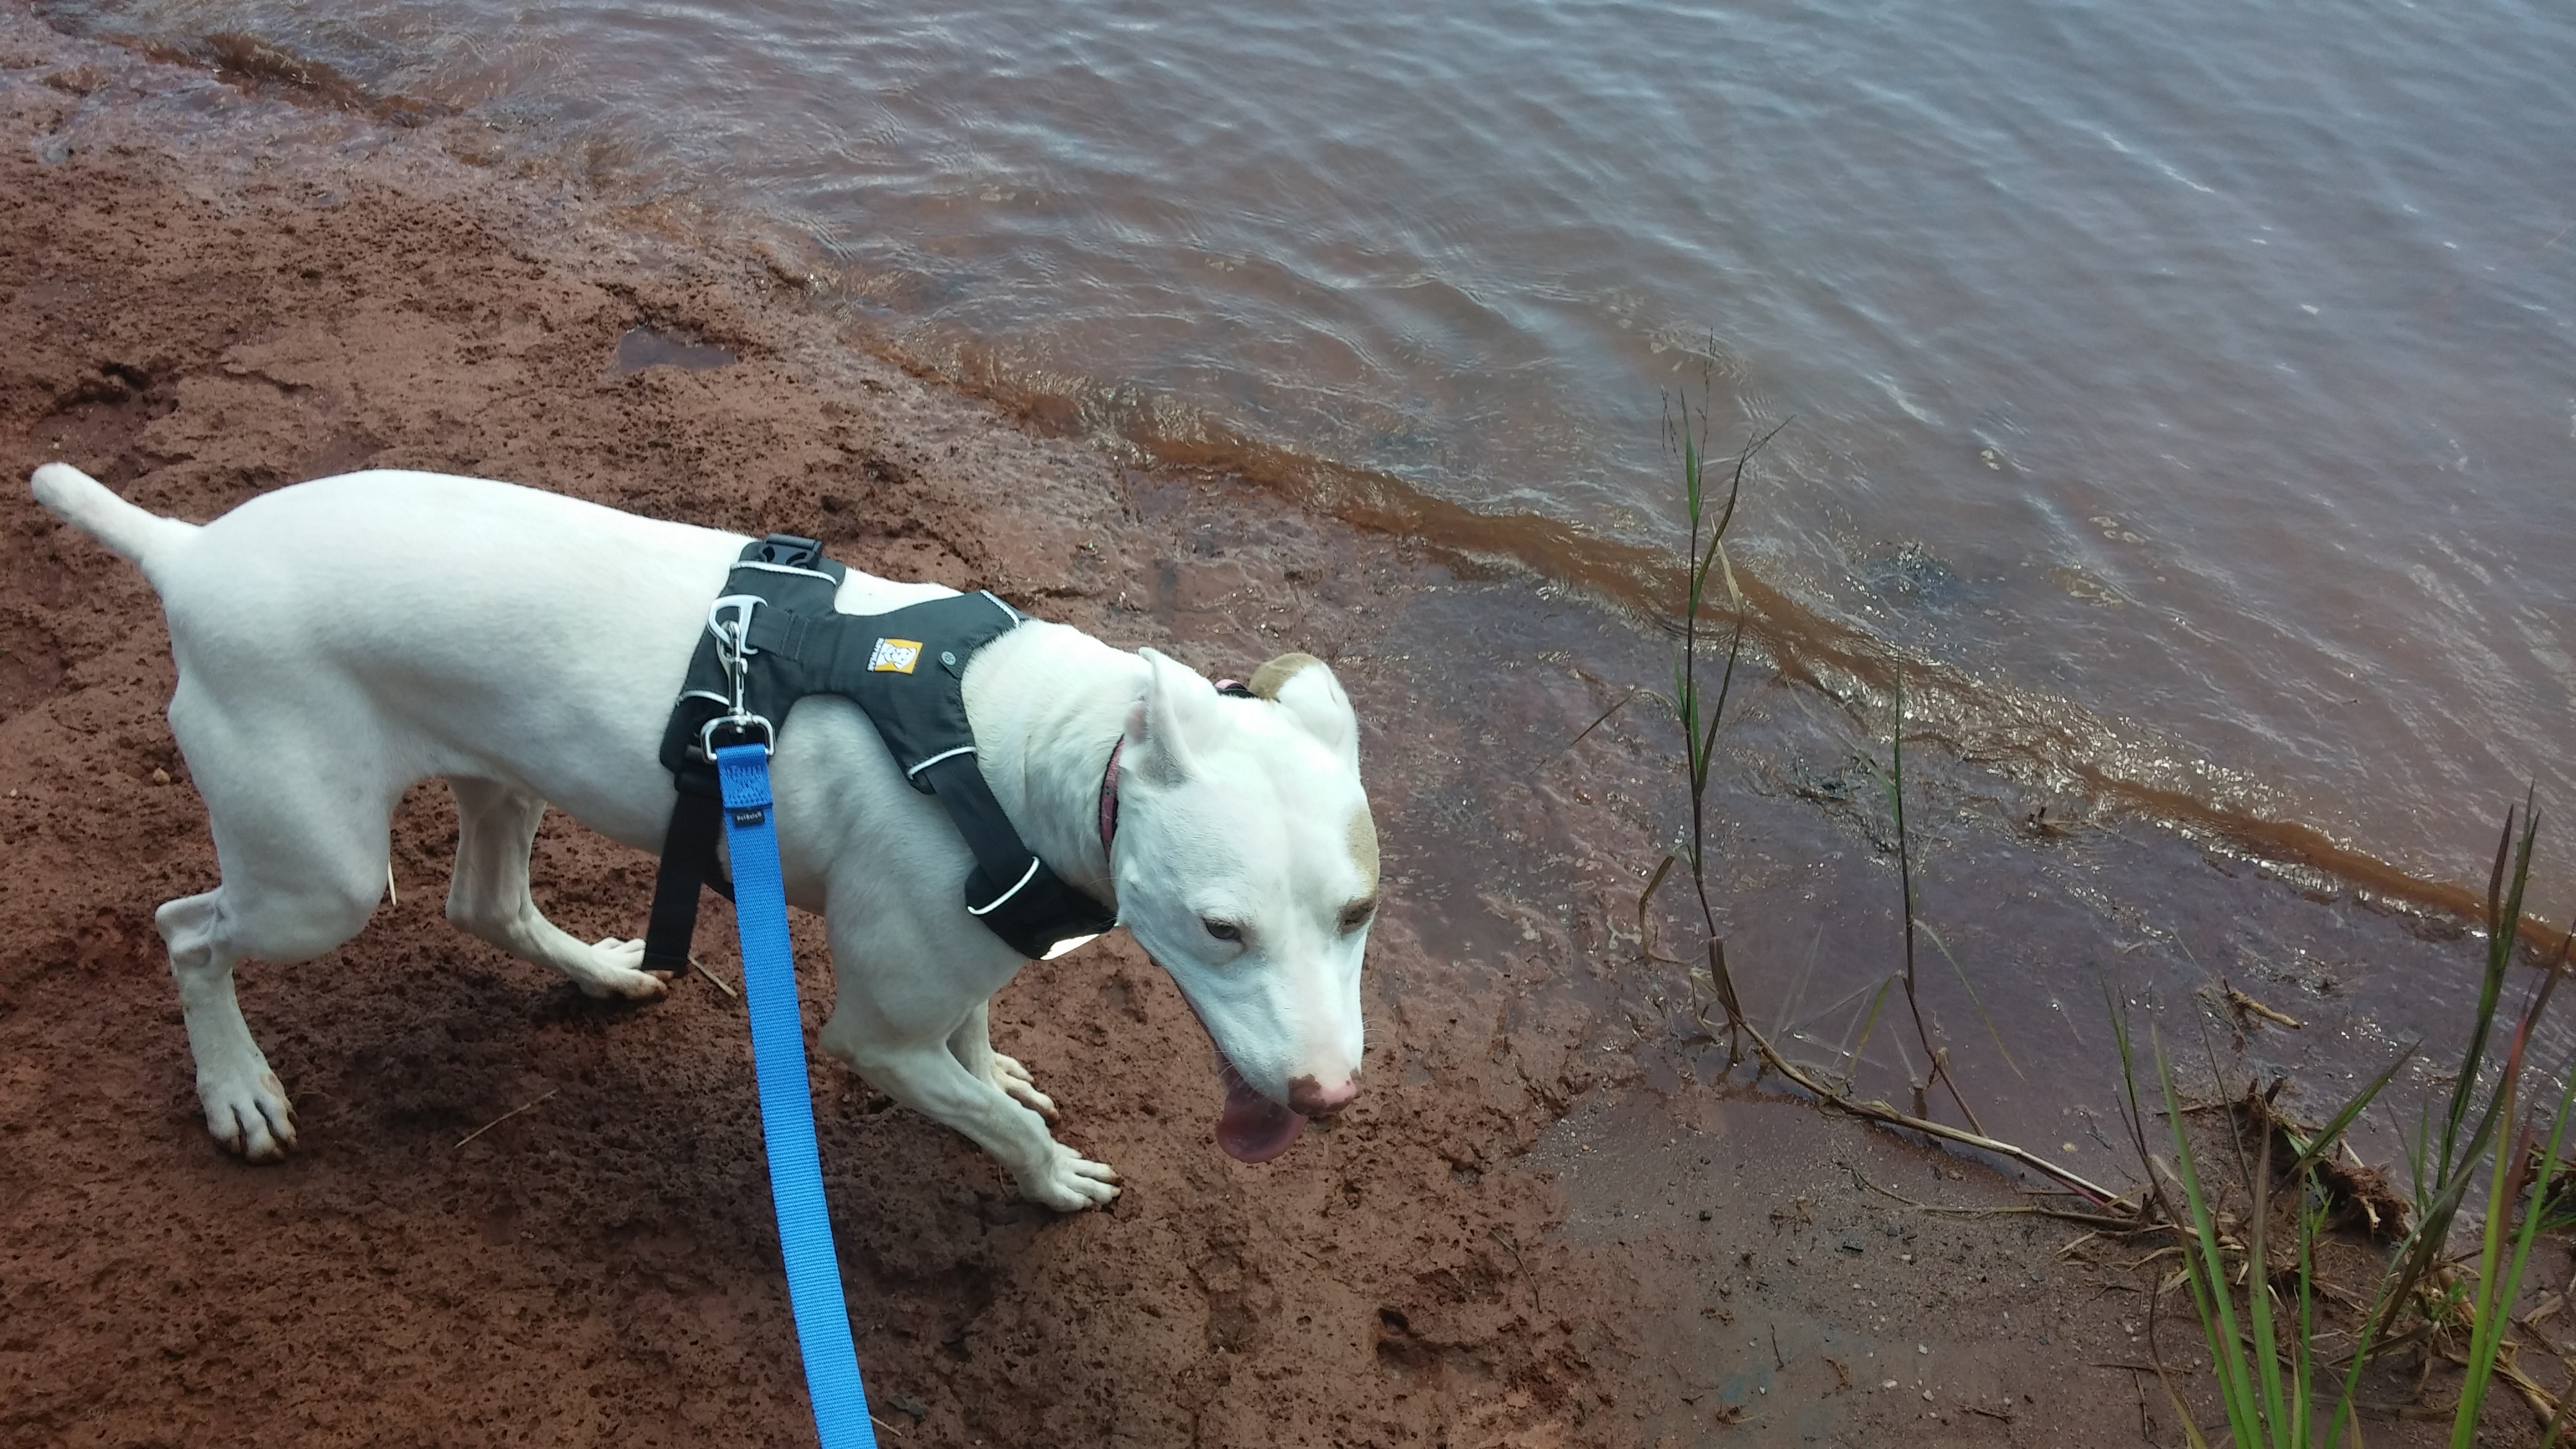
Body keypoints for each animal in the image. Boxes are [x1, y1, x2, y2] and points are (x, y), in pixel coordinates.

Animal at [30, 461, 1380, 1206]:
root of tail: (187, 552)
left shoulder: (969, 956)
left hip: (498, 777)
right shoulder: (873, 1038)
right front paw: (1049, 1177)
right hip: (319, 879)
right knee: (188, 932)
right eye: (1220, 929)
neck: (1016, 745)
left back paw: (603, 970)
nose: (1328, 1100)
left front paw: (997, 1068)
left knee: (488, 905)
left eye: (1358, 915)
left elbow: (981, 1044)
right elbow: (988, 1117)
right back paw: (237, 1089)